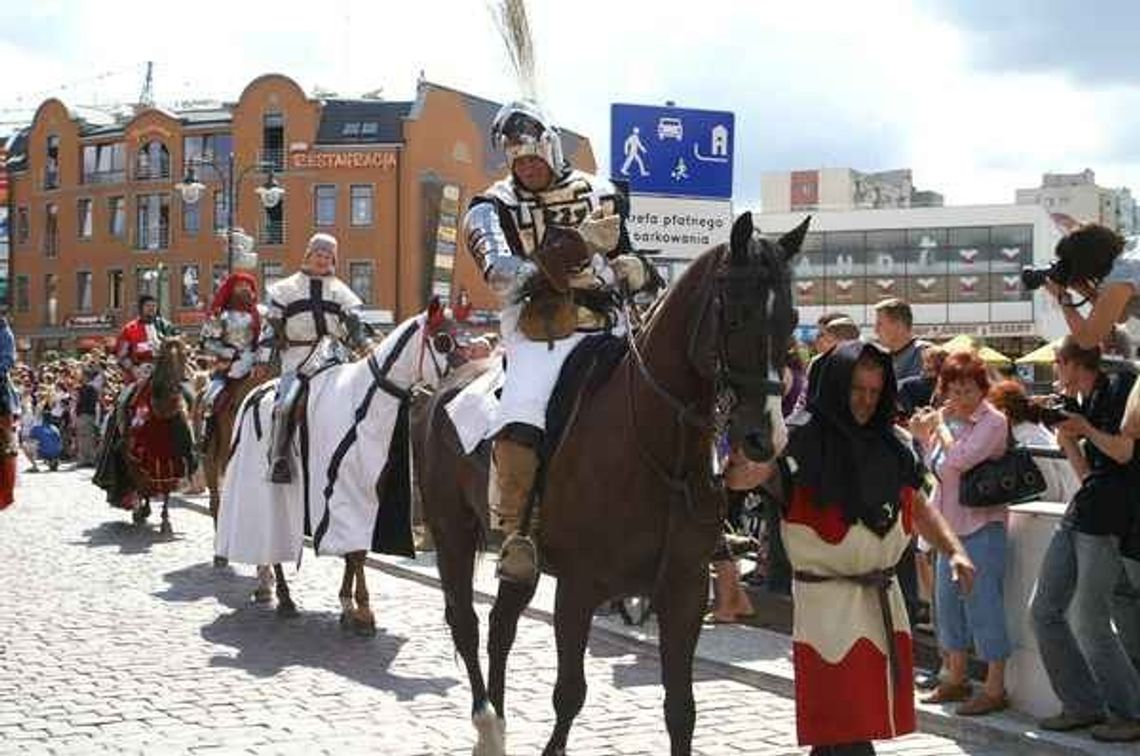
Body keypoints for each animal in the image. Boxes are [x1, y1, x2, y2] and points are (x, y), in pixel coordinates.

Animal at [214, 301, 458, 633]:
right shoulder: (341, 492)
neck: (366, 402)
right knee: (273, 544)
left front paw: (351, 608)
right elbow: (354, 553)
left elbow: (357, 553)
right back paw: (285, 598)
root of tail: (253, 394)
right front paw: (359, 609)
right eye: (443, 340)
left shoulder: (370, 496)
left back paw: (266, 587)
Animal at [417, 209, 802, 752]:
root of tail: (437, 393)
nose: (765, 437)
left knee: (500, 628)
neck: (658, 451)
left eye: (789, 319)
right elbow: (569, 695)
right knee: (467, 624)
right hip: (453, 530)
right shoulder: (578, 588)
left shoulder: (683, 591)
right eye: (735, 316)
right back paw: (488, 725)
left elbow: (681, 711)